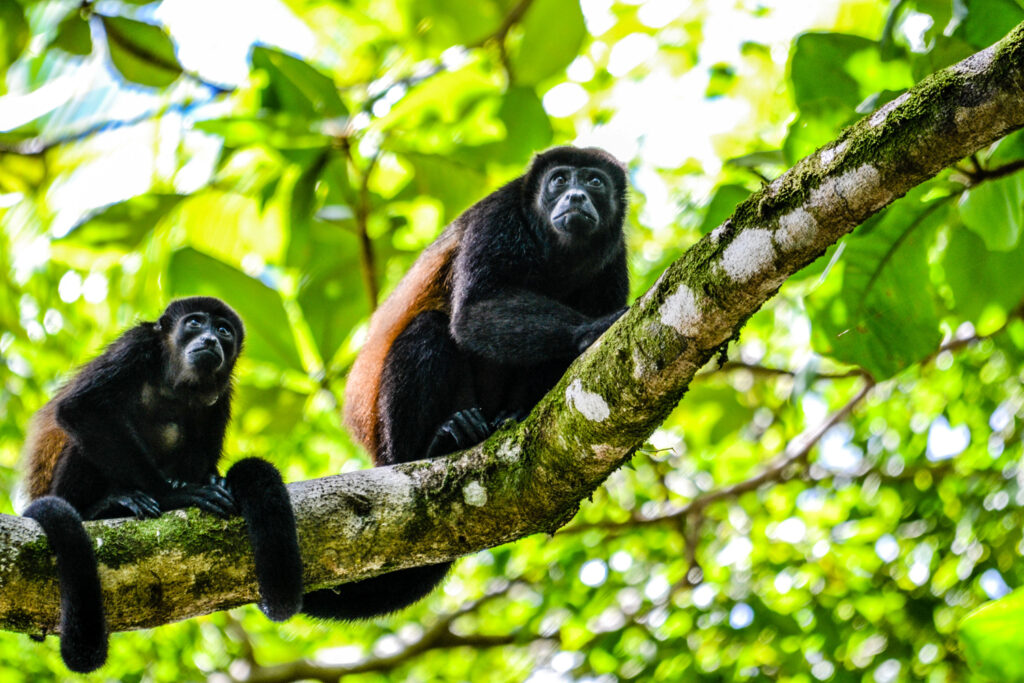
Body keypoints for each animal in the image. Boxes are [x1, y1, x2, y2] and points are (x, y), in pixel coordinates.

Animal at [20, 297, 303, 673]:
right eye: (195, 323)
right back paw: (105, 506)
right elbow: (81, 408)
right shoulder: (135, 346)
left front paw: (206, 479)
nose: (210, 340)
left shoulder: (223, 390)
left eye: (223, 330)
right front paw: (174, 494)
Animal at [301, 146, 630, 620]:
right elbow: (474, 311)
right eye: (559, 179)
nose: (576, 197)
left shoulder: (613, 255)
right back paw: (438, 443)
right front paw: (591, 329)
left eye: (594, 181)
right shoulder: (499, 218)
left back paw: (506, 418)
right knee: (428, 330)